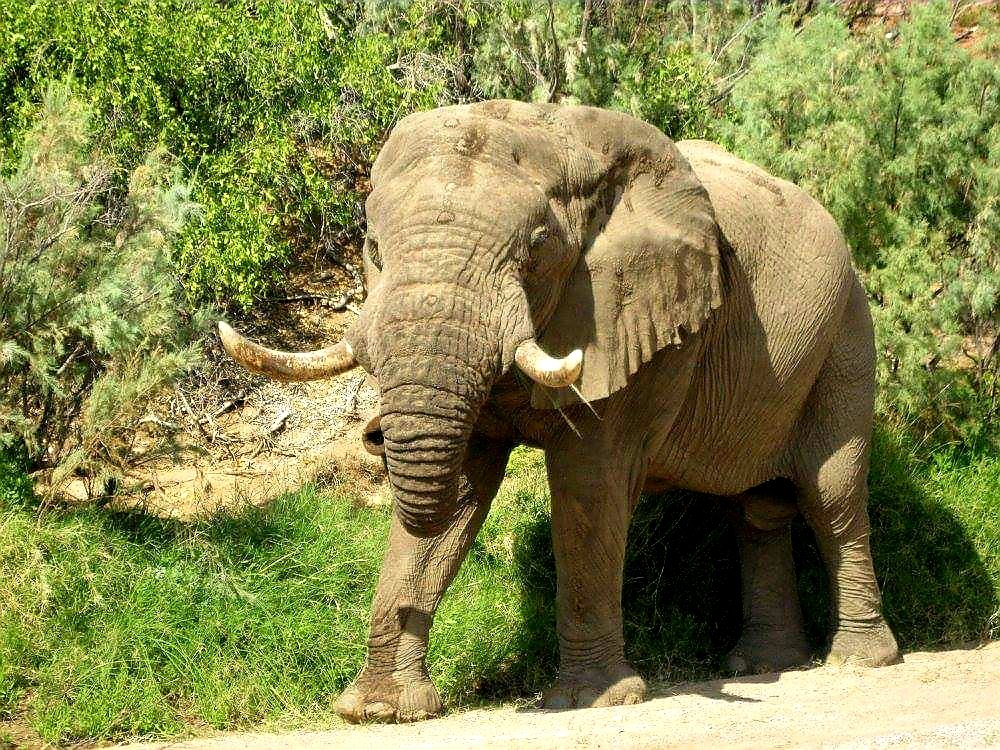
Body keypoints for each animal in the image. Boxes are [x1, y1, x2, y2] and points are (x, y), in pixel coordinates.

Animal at [218, 100, 900, 723]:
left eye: (538, 251)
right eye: (373, 250)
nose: (374, 436)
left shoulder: (632, 323)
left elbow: (588, 487)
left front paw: (591, 700)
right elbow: (460, 490)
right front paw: (379, 710)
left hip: (846, 332)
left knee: (831, 494)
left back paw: (860, 660)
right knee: (758, 509)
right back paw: (763, 664)